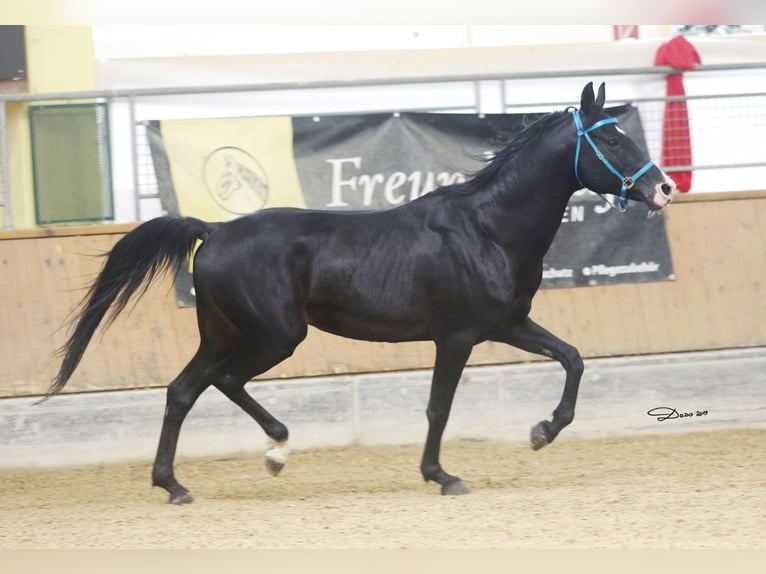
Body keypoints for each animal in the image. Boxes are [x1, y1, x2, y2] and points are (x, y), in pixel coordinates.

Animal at [48, 81, 676, 504]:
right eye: (612, 138)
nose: (665, 187)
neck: (486, 228)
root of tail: (216, 229)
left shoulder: (507, 325)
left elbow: (573, 358)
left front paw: (542, 432)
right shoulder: (457, 337)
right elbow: (439, 406)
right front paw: (443, 477)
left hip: (226, 332)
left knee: (184, 389)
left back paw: (178, 483)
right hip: (274, 335)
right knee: (219, 382)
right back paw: (270, 453)